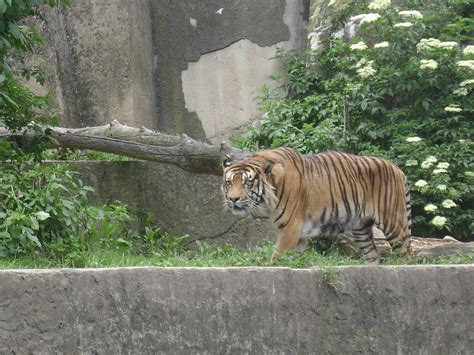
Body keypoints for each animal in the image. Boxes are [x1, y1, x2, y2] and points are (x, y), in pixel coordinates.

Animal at [222, 147, 412, 264]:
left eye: (247, 183)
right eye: (229, 183)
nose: (233, 199)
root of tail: (398, 169)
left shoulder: (290, 228)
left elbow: (277, 256)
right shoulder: (299, 236)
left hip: (394, 225)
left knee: (407, 254)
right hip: (361, 228)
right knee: (373, 255)